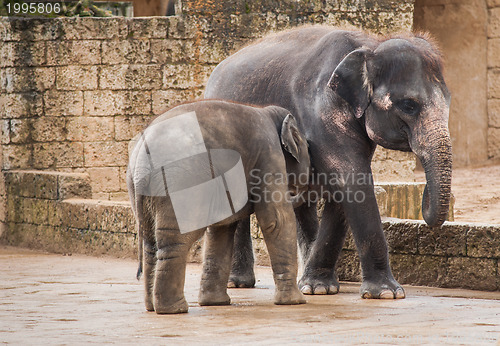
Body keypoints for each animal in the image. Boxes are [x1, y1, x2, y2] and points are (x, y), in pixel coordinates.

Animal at [126, 99, 308, 314]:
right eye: (307, 147)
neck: (269, 113)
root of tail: (141, 156)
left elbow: (221, 228)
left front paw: (215, 303)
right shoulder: (268, 154)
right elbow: (277, 219)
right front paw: (296, 302)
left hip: (143, 189)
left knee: (150, 243)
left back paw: (152, 307)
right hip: (181, 183)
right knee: (175, 240)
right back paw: (175, 309)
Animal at [204, 26, 454, 300]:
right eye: (409, 105)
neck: (370, 45)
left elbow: (343, 188)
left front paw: (319, 288)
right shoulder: (322, 109)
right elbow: (351, 177)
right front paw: (387, 293)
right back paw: (238, 283)